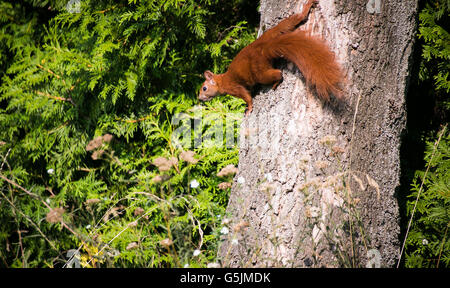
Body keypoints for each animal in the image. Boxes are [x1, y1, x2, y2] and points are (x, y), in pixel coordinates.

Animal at [199, 0, 342, 115]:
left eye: (204, 88)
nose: (200, 99)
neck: (222, 81)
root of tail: (264, 47)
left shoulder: (235, 88)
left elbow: (246, 96)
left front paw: (249, 108)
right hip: (272, 33)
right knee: (289, 23)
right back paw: (305, 9)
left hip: (259, 71)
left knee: (277, 73)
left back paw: (276, 82)